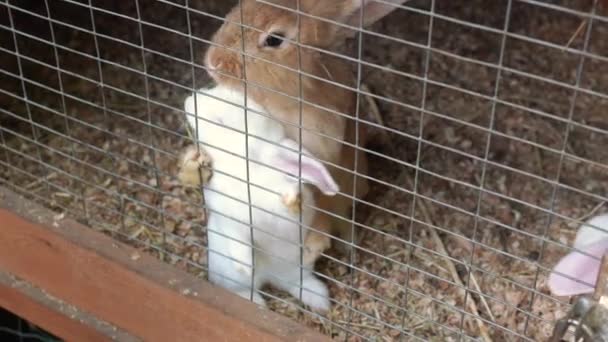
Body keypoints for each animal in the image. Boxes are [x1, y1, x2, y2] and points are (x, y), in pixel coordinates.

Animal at [180, 84, 342, 312]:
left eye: (220, 122)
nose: (189, 100)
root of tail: (272, 277)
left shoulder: (286, 219)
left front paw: (293, 196)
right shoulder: (229, 220)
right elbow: (239, 242)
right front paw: (246, 266)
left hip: (301, 266)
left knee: (297, 284)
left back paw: (320, 300)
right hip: (230, 276)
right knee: (242, 289)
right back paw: (258, 301)